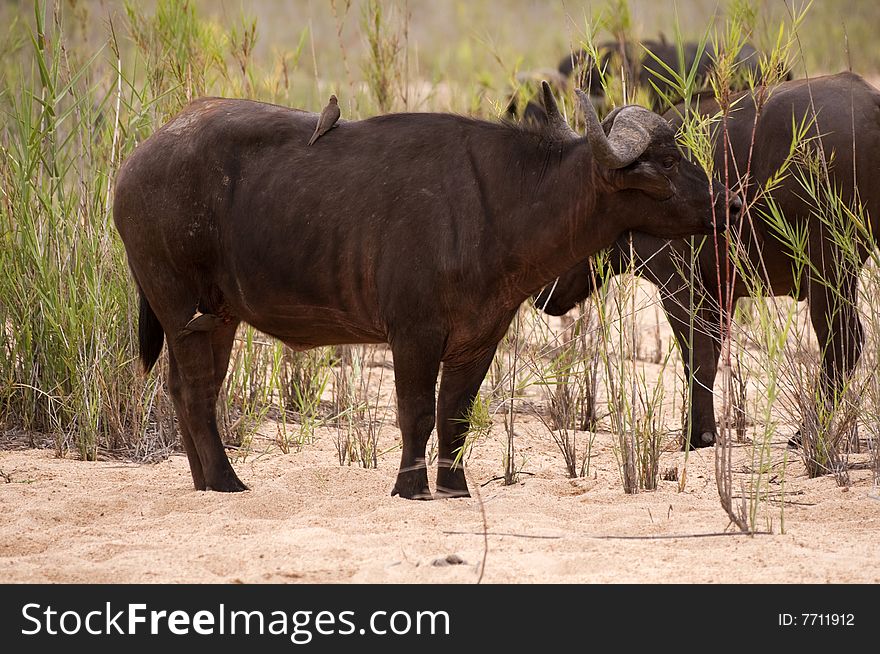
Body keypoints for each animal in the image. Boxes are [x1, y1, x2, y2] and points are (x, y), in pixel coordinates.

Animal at [115, 84, 736, 500]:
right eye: (668, 161)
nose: (726, 202)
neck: (498, 205)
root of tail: (135, 163)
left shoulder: (479, 338)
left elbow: (455, 413)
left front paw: (454, 486)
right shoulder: (413, 334)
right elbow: (416, 411)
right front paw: (411, 488)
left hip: (215, 317)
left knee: (182, 388)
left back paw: (204, 481)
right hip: (184, 307)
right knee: (198, 391)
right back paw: (226, 482)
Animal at [536, 72, 880, 452]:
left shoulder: (678, 284)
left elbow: (697, 358)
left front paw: (698, 434)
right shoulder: (720, 294)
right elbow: (712, 355)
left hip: (829, 267)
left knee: (843, 343)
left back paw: (806, 433)